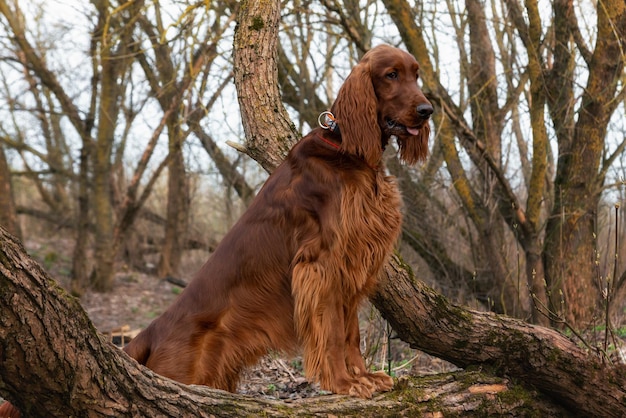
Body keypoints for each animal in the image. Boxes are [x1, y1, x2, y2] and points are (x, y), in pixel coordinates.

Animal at [123, 45, 432, 398]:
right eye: (391, 74)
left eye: (416, 74)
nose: (428, 110)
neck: (348, 151)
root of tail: (148, 333)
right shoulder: (321, 264)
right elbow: (333, 331)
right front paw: (343, 382)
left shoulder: (350, 263)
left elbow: (350, 331)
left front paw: (363, 375)